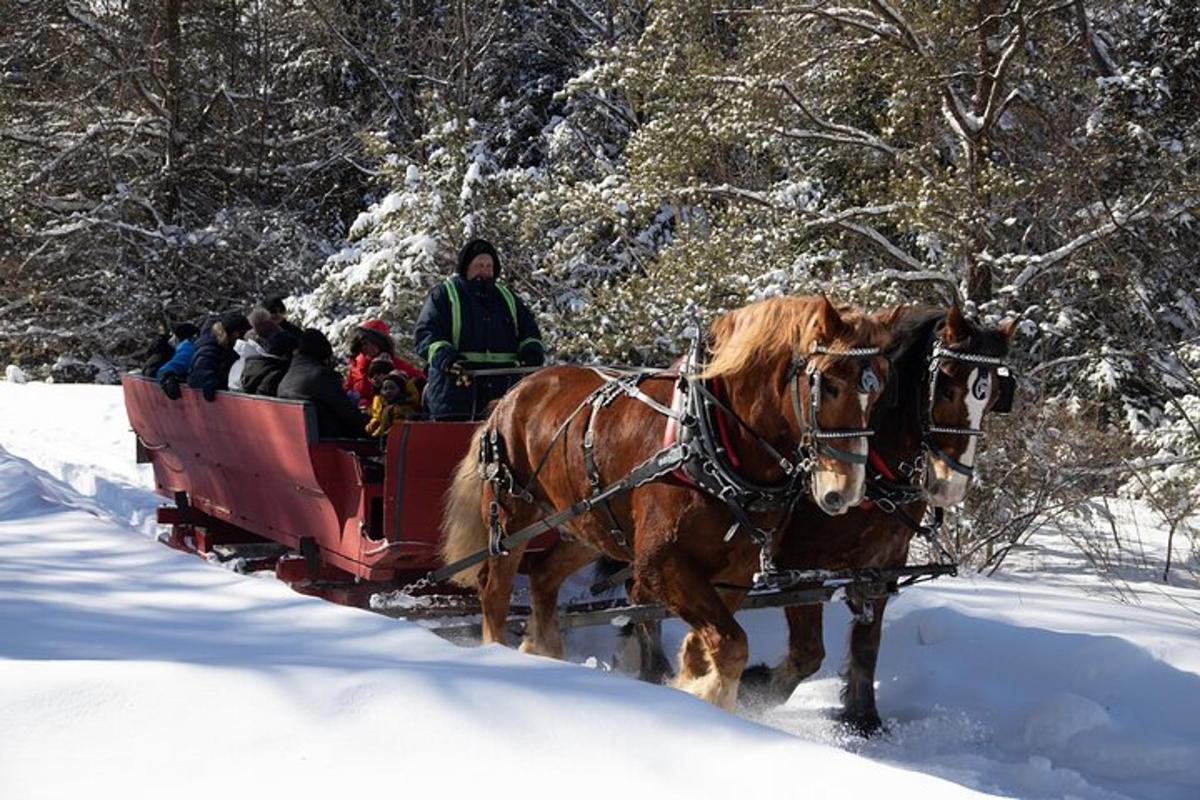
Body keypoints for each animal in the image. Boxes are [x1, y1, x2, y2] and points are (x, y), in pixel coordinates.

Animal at [441, 297, 892, 710]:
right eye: (828, 385)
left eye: (878, 392)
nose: (845, 490)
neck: (711, 437)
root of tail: (512, 395)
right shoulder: (660, 563)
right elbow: (731, 645)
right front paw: (706, 698)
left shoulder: (735, 572)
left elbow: (706, 647)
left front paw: (692, 687)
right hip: (512, 517)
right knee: (495, 590)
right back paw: (503, 658)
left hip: (587, 525)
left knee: (542, 577)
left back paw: (543, 653)